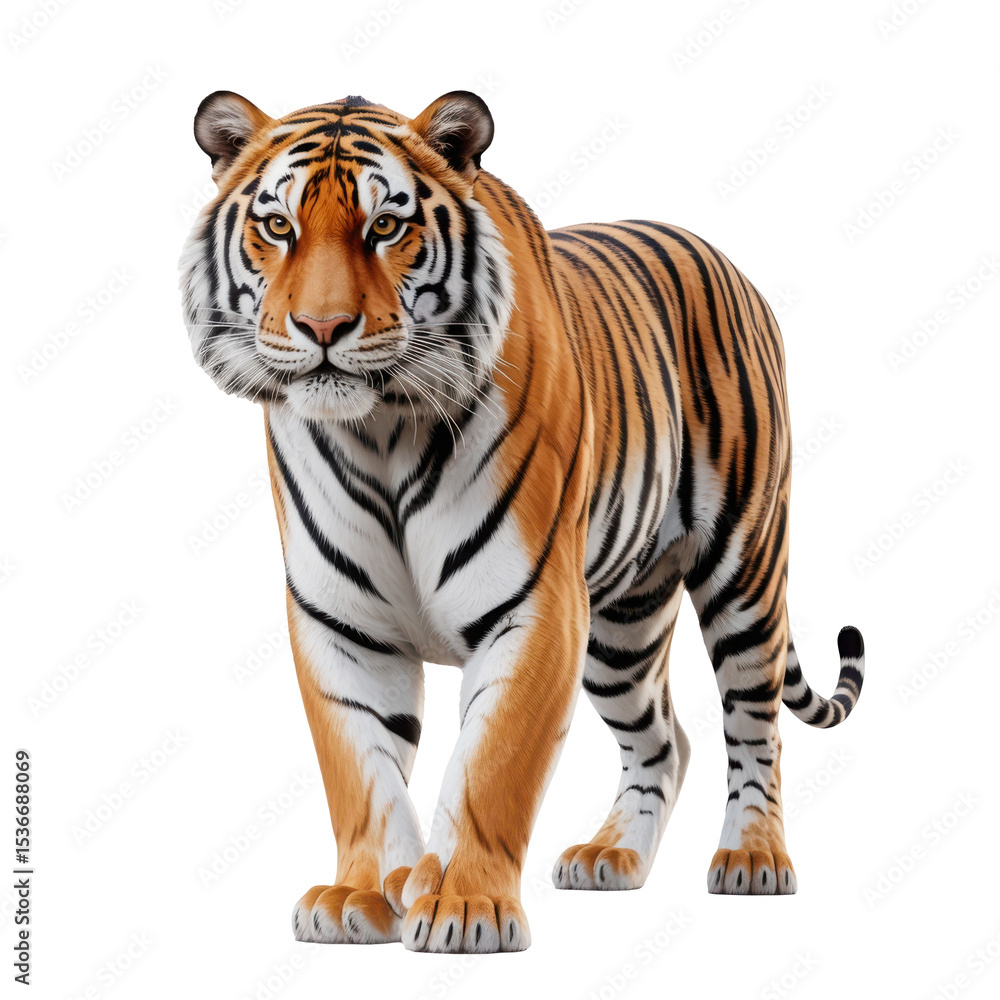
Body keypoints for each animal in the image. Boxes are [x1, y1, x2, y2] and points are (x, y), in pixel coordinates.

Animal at [179, 89, 865, 954]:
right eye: (277, 226)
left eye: (386, 226)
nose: (323, 328)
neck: (380, 430)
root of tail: (724, 260)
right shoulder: (341, 623)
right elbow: (362, 771)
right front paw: (361, 896)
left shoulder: (535, 610)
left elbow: (493, 764)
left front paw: (464, 906)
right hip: (622, 629)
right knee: (663, 739)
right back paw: (612, 856)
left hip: (744, 569)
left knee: (755, 724)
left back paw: (752, 858)